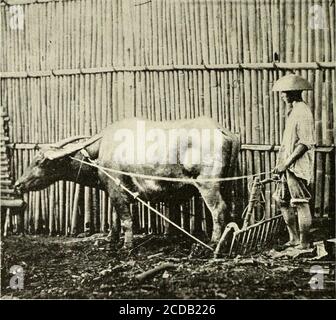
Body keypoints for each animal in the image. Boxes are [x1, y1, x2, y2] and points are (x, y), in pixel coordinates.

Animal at [13, 117, 239, 248]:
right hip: (225, 185)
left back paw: (213, 243)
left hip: (208, 185)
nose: (18, 184)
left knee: (219, 210)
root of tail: (225, 132)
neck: (100, 151)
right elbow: (115, 218)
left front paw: (127, 245)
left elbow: (126, 219)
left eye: (39, 161)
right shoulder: (114, 192)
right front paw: (110, 239)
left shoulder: (117, 190)